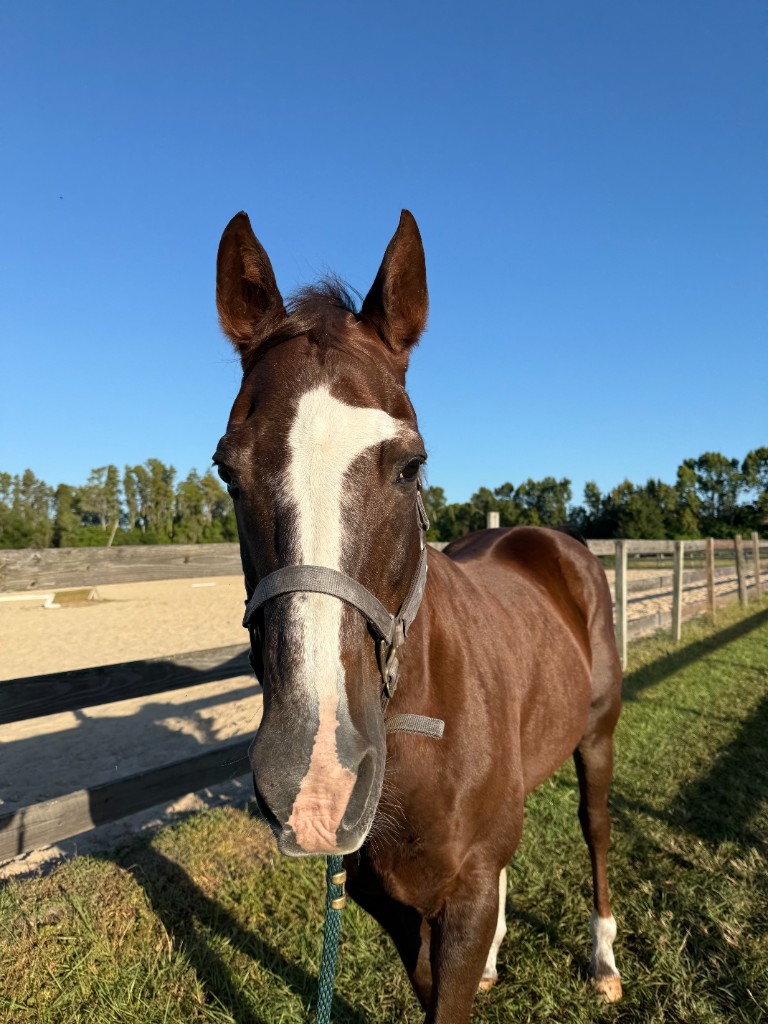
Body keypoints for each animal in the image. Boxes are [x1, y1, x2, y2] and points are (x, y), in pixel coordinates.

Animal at [213, 209, 623, 1022]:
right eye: (227, 471)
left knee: (595, 831)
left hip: (596, 739)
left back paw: (603, 961)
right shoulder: (393, 905)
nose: (316, 778)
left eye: (410, 466)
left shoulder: (462, 896)